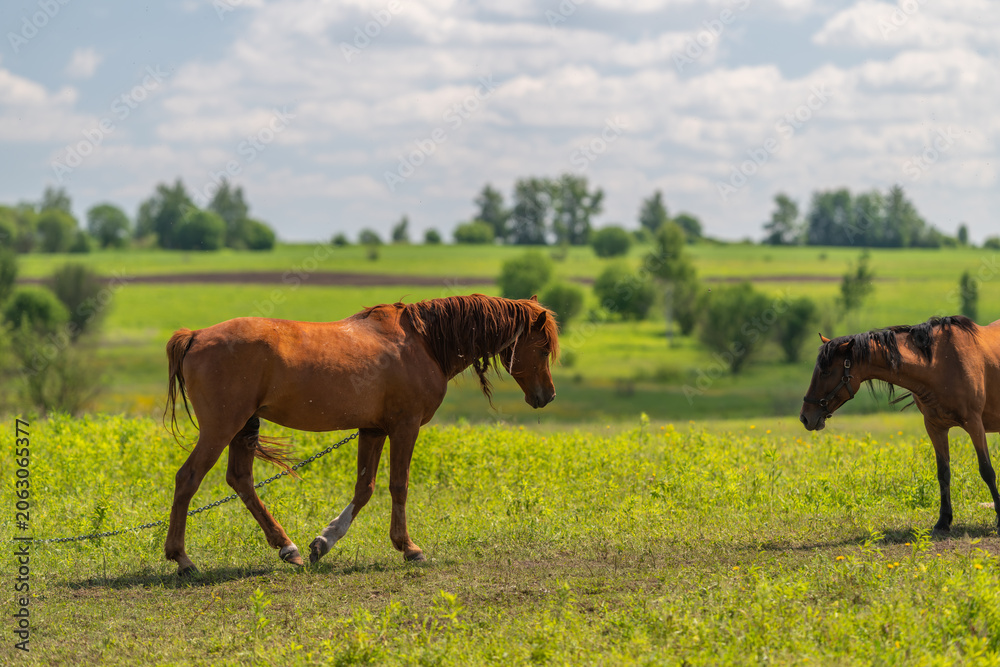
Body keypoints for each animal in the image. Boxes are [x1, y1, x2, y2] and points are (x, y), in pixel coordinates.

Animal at [163, 294, 559, 575]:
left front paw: (323, 542)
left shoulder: (372, 430)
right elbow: (399, 485)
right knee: (188, 479)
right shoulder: (404, 428)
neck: (423, 342)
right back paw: (182, 559)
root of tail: (195, 336)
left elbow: (364, 489)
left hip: (244, 427)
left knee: (241, 480)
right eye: (542, 349)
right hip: (221, 429)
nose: (548, 396)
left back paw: (287, 548)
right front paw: (409, 548)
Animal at [800, 315, 1000, 532]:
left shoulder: (974, 424)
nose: (805, 417)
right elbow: (943, 473)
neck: (941, 364)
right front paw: (943, 521)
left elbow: (987, 471)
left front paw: (998, 519)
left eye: (826, 372)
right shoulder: (935, 427)